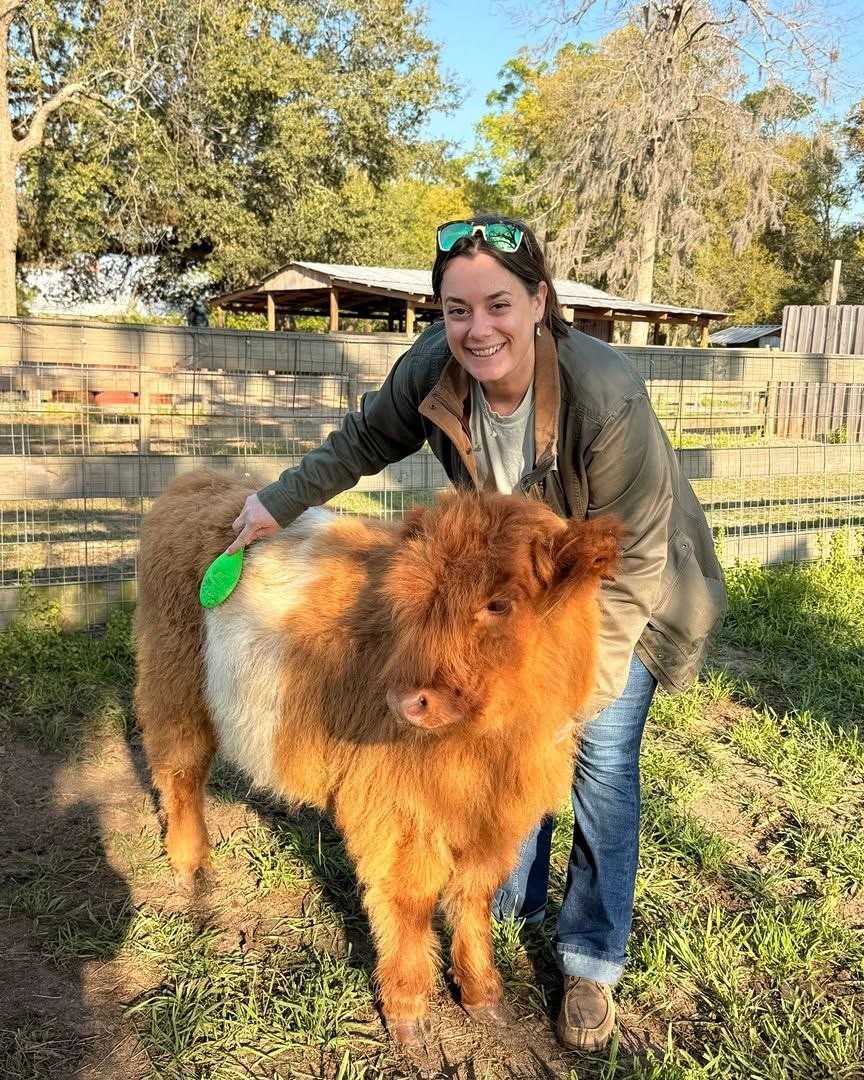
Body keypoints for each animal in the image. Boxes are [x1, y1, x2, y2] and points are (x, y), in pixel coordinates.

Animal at [134, 471, 620, 1043]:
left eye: (500, 603)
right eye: (413, 596)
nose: (407, 701)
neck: (495, 746)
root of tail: (199, 481)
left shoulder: (496, 819)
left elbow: (472, 898)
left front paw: (482, 993)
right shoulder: (395, 809)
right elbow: (409, 900)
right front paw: (407, 1010)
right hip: (174, 679)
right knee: (180, 768)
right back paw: (190, 864)